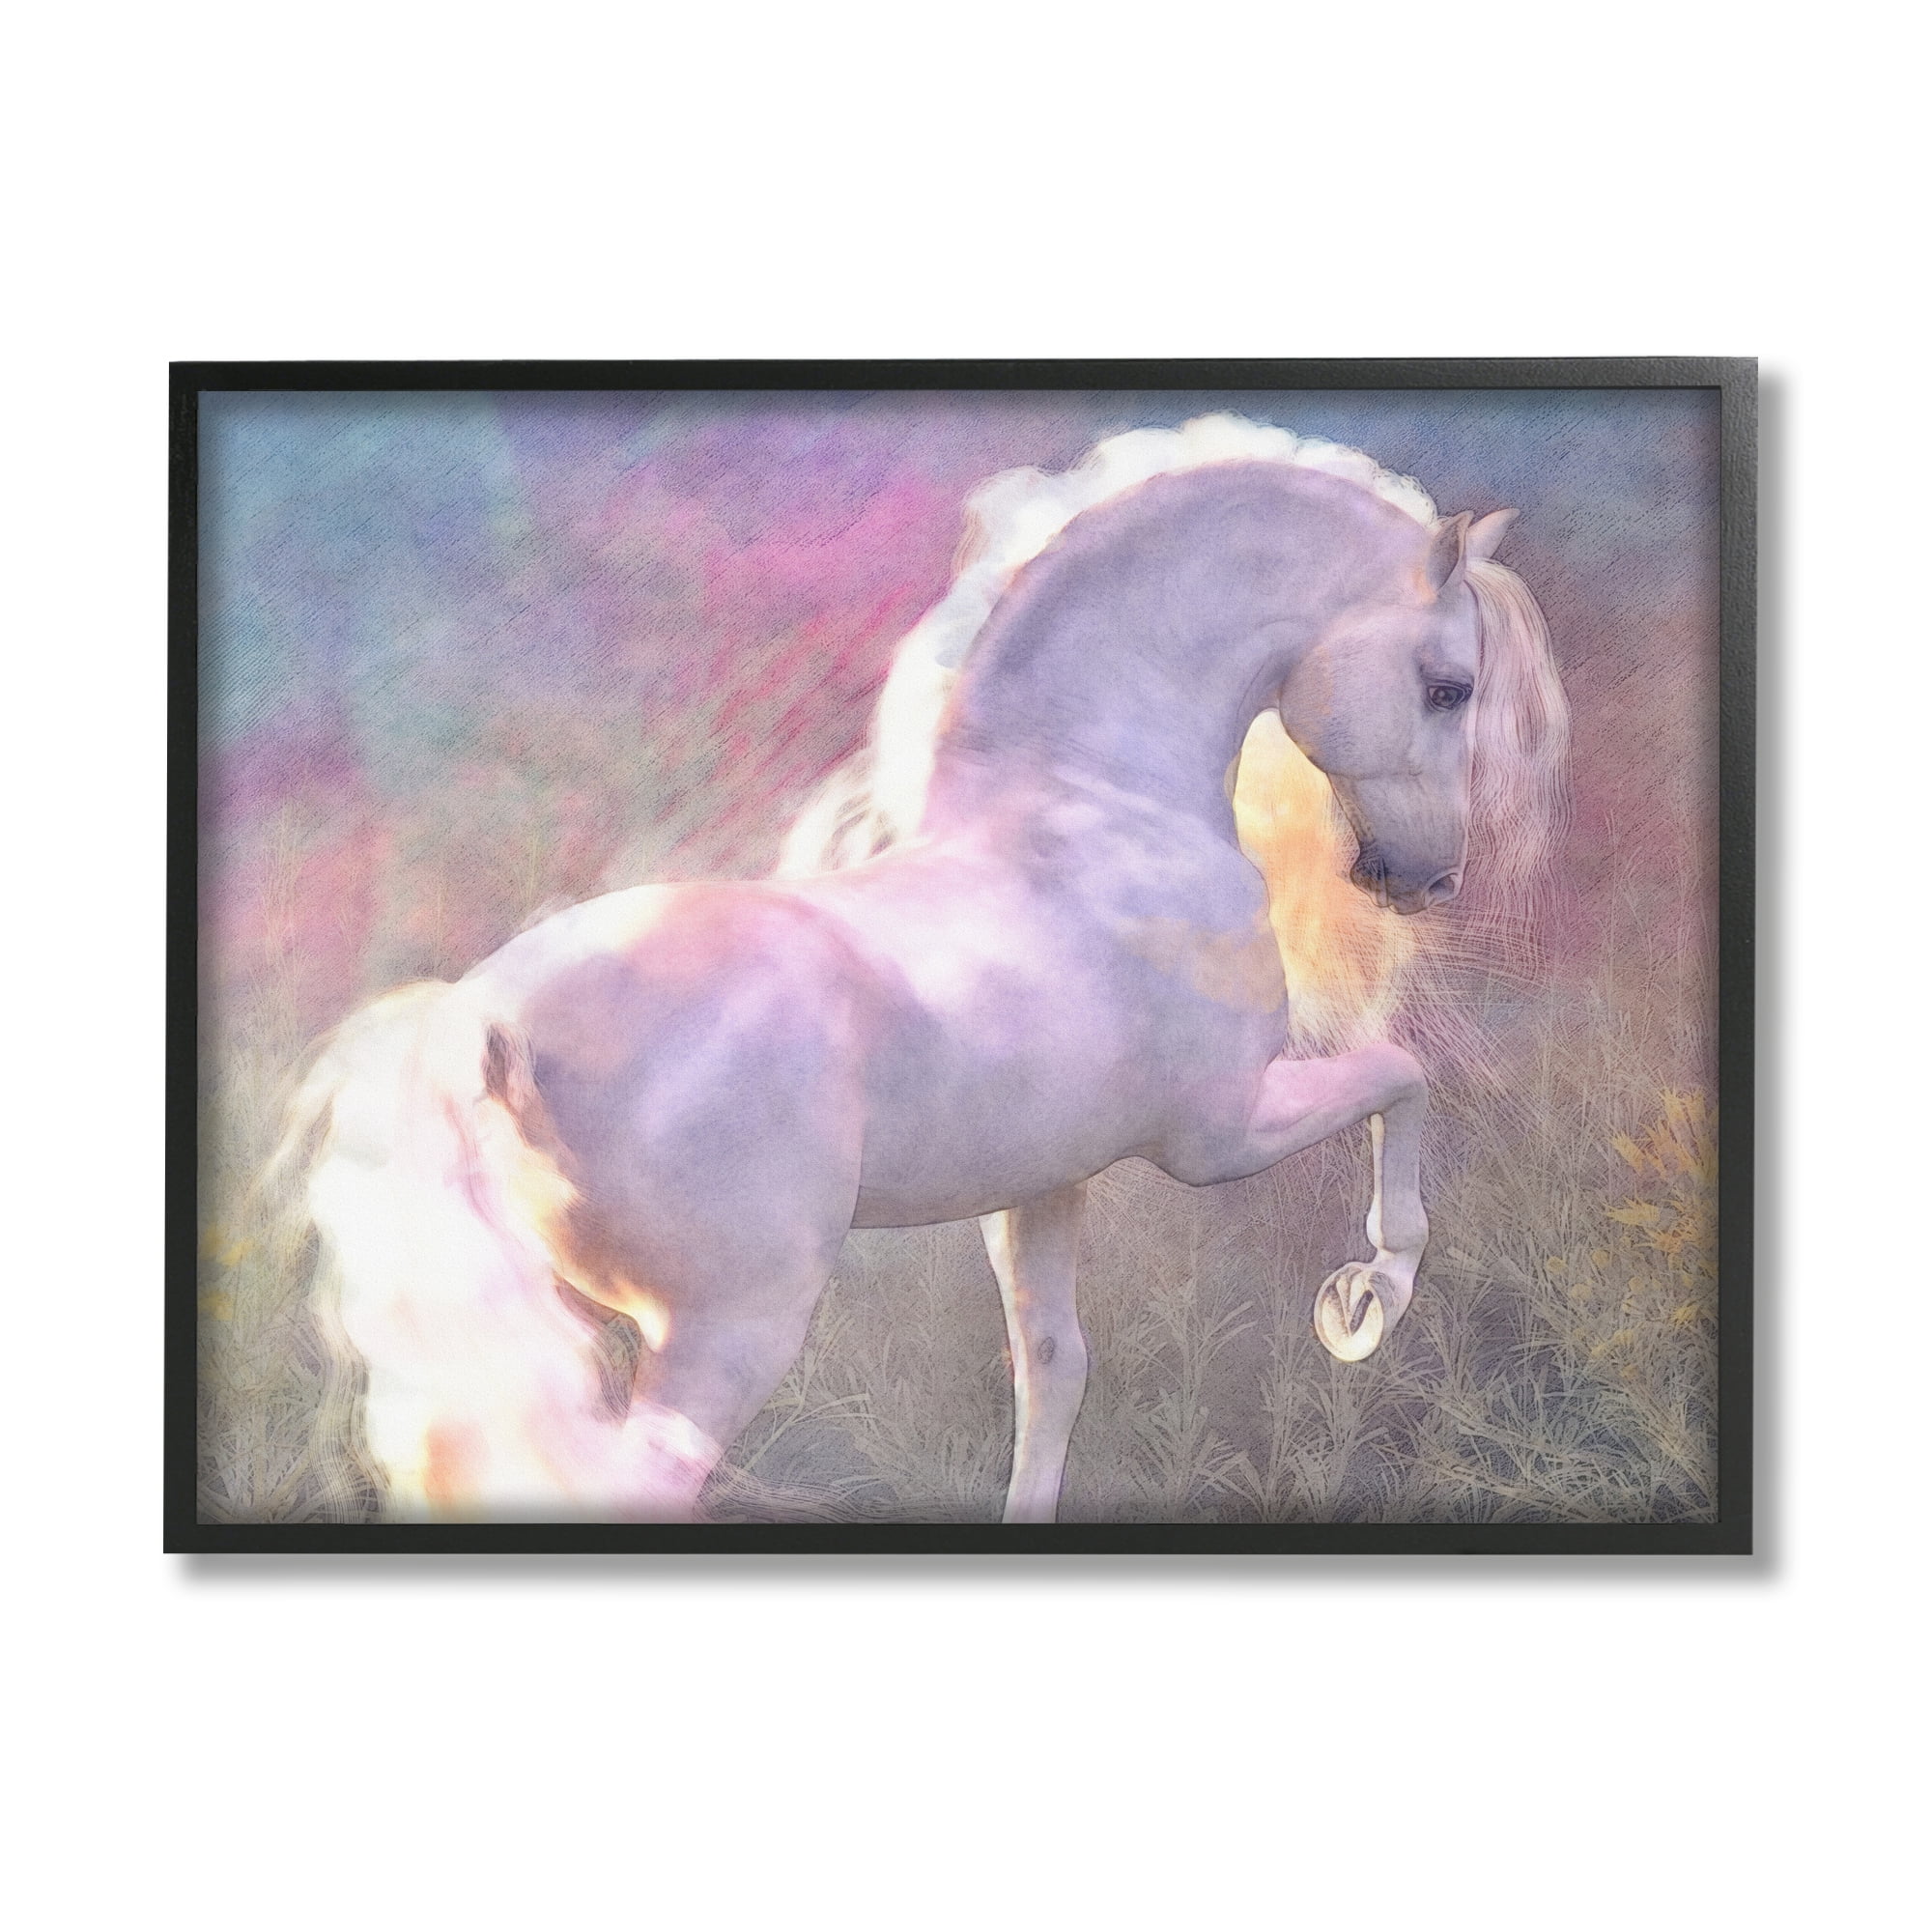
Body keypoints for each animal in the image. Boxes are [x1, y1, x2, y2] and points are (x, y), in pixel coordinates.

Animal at [286, 415, 1568, 1523]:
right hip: (728, 1328)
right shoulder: (1218, 1131)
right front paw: (1364, 1299)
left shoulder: (1045, 1183)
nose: (1423, 876)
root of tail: (489, 1018)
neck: (1093, 810)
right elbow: (1400, 1077)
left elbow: (1051, 1367)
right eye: (1447, 684)